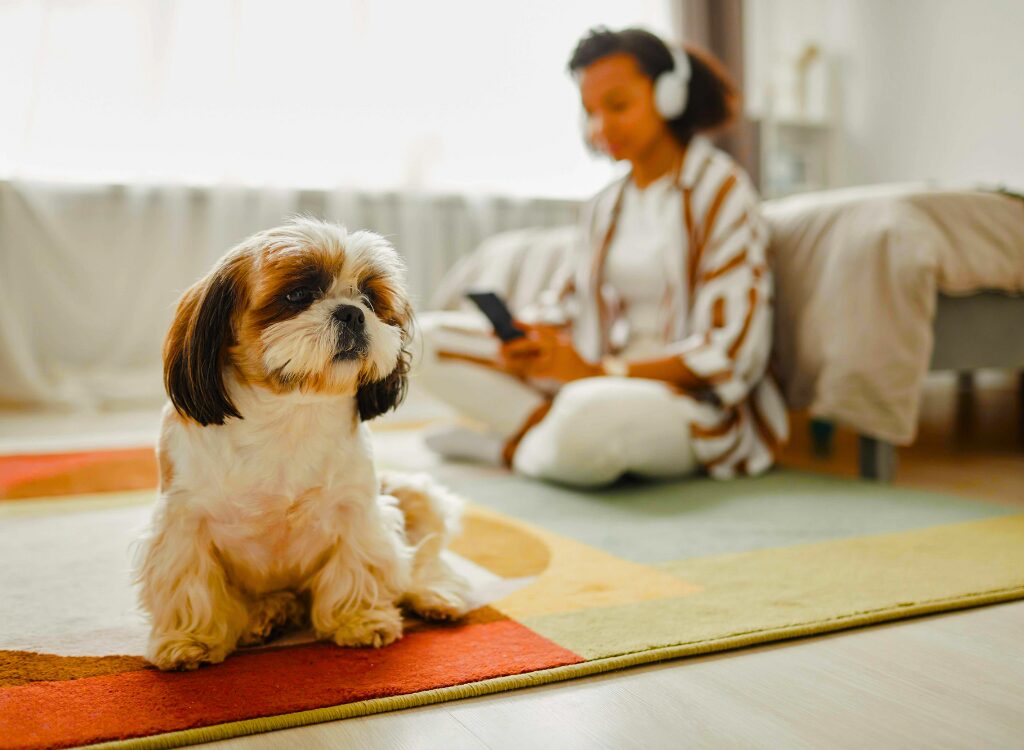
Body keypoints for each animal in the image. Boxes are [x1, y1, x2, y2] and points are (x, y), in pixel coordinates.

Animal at [135, 218, 468, 672]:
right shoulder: (184, 522)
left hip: (412, 493)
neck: (288, 411)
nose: (352, 312)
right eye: (297, 295)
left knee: (426, 557)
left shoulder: (357, 509)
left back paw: (436, 594)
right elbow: (190, 584)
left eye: (369, 298)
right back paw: (267, 613)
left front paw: (359, 619)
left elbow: (359, 563)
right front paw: (190, 639)